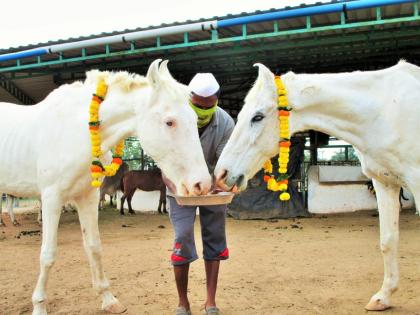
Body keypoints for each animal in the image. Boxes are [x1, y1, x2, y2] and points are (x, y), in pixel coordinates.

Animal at [0, 59, 210, 315]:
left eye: (194, 118)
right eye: (169, 122)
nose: (202, 184)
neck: (76, 132)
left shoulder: (88, 198)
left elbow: (94, 246)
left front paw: (107, 298)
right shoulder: (51, 198)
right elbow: (47, 254)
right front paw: (39, 305)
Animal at [218, 60, 420, 312]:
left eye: (257, 117)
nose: (222, 174)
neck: (384, 111)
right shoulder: (385, 183)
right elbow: (388, 240)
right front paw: (383, 297)